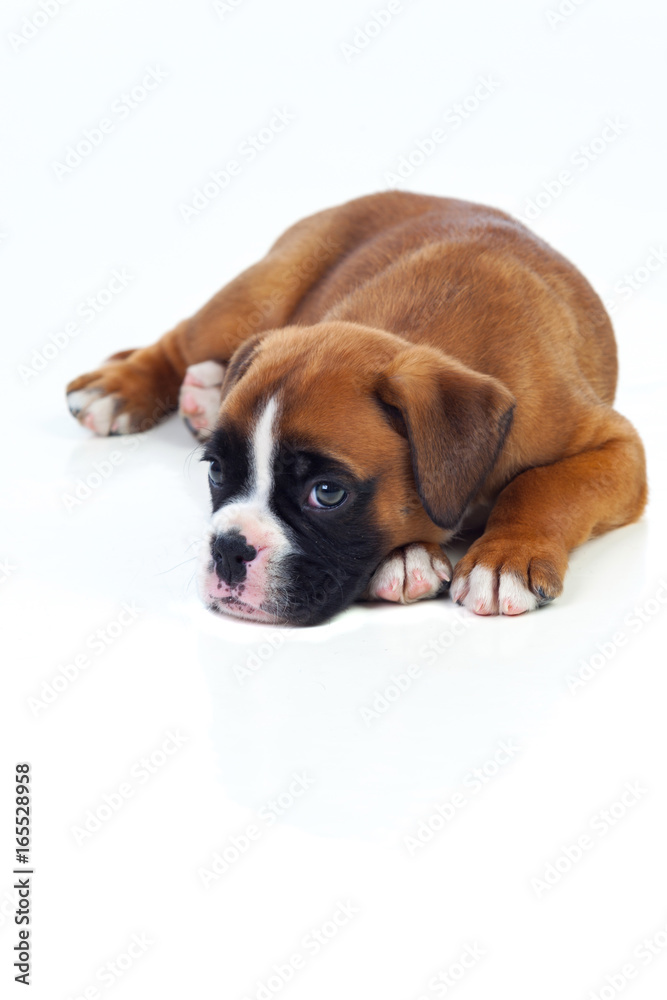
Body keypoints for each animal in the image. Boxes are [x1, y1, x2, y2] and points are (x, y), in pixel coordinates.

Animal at [66, 189, 648, 624]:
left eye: (328, 493)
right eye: (215, 472)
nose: (228, 549)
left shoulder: (619, 450)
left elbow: (544, 485)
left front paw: (505, 556)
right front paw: (410, 556)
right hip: (258, 293)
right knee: (179, 340)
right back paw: (119, 389)